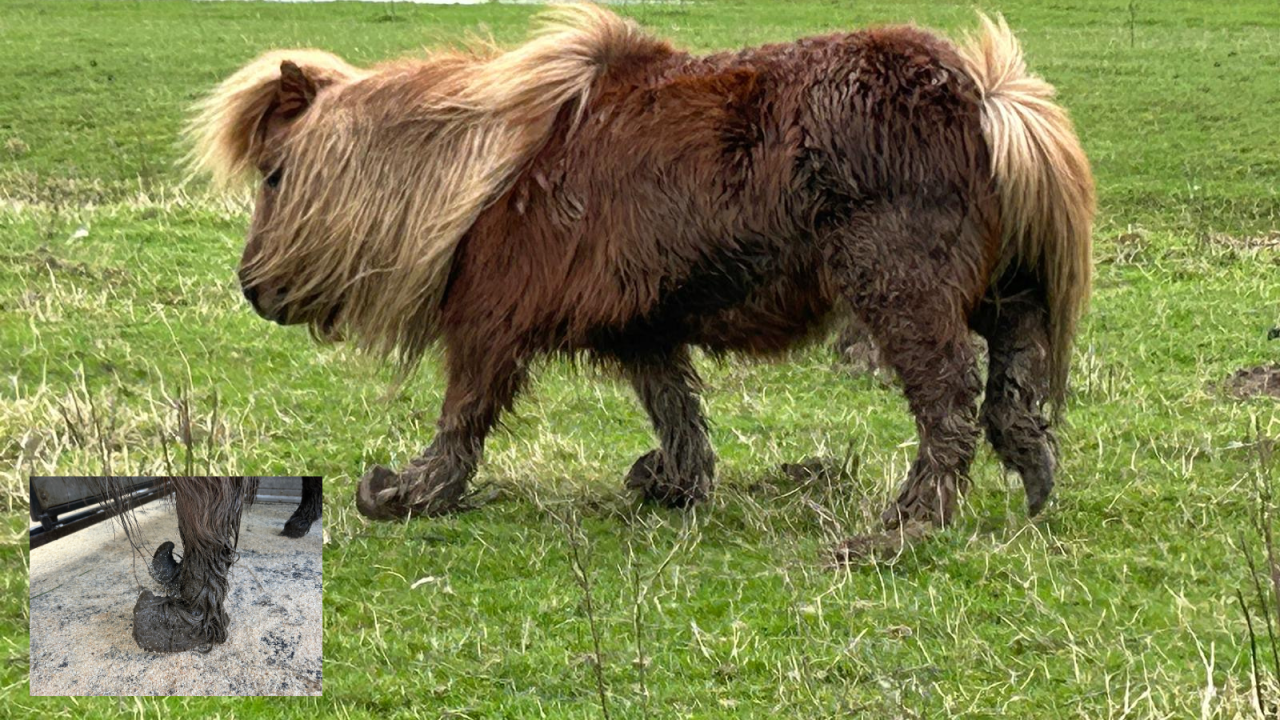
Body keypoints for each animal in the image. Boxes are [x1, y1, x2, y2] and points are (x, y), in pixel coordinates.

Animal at [188, 5, 1093, 541]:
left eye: (274, 175)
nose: (251, 289)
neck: (482, 179)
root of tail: (981, 99)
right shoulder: (642, 329)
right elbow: (676, 413)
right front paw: (671, 484)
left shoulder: (489, 324)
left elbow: (462, 419)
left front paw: (402, 494)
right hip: (984, 284)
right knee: (1015, 358)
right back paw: (1033, 469)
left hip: (901, 291)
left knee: (948, 403)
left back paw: (903, 528)